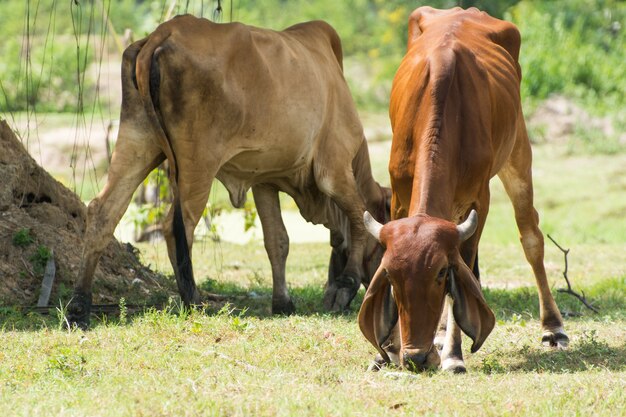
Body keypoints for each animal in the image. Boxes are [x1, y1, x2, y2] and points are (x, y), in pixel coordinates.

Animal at [66, 16, 388, 326]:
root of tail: (163, 33)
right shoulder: (334, 169)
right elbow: (358, 218)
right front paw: (345, 285)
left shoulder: (265, 181)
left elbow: (278, 241)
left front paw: (282, 302)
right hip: (198, 162)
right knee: (177, 225)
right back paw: (193, 300)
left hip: (137, 139)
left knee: (103, 211)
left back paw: (79, 307)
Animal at [356, 6, 564, 372]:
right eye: (391, 278)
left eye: (441, 273)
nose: (416, 356)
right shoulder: (399, 194)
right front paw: (388, 351)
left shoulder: (478, 200)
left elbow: (462, 272)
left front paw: (453, 354)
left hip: (518, 150)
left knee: (531, 236)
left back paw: (553, 328)